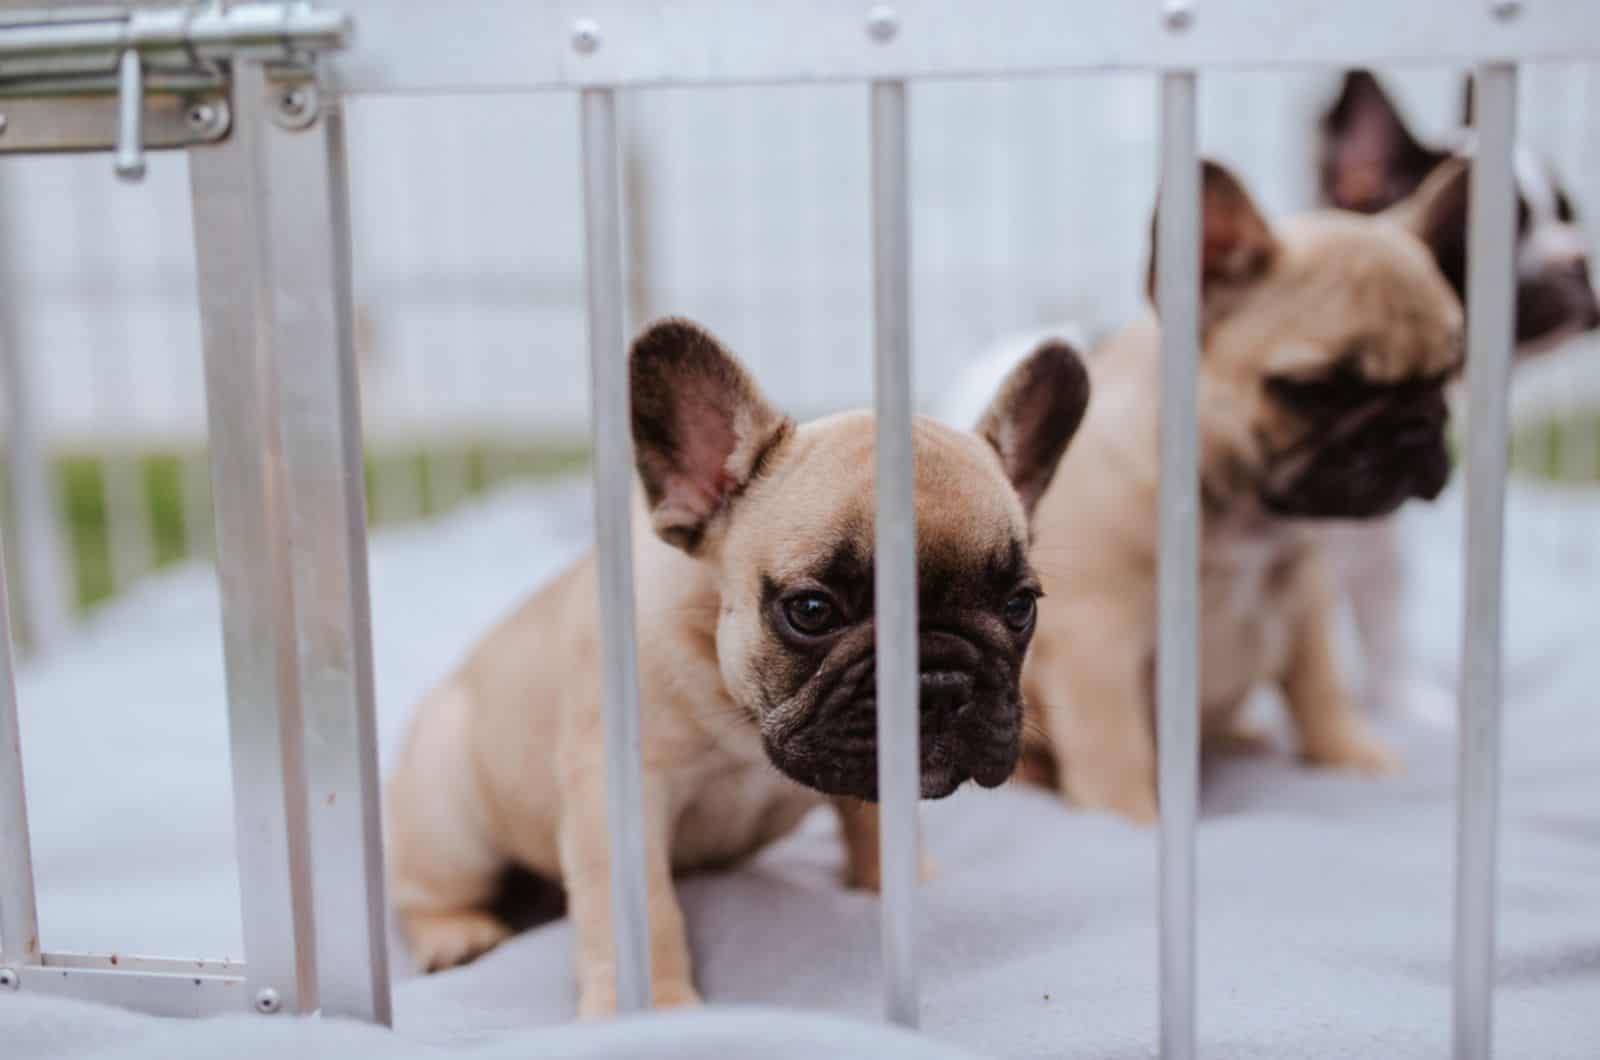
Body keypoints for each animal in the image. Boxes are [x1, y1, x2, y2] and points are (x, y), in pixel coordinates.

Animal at [1011, 161, 1465, 826]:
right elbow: (1115, 745)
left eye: (1447, 376)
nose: (1414, 428)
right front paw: (1130, 821)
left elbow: (1321, 691)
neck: (1240, 505)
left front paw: (1351, 755)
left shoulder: (1304, 606)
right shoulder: (1099, 642)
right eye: (1317, 389)